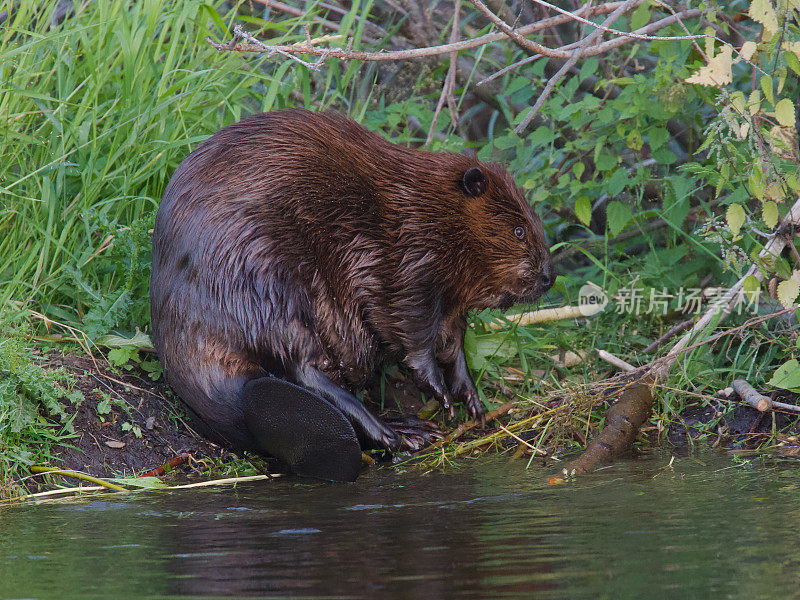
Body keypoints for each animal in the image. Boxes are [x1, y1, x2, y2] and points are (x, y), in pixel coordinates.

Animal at [147, 110, 552, 480]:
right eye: (518, 230)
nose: (549, 277)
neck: (424, 206)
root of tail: (237, 396)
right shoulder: (407, 259)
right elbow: (411, 327)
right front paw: (440, 392)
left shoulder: (450, 296)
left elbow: (453, 343)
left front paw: (472, 398)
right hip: (265, 275)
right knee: (303, 366)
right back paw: (396, 434)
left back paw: (405, 428)